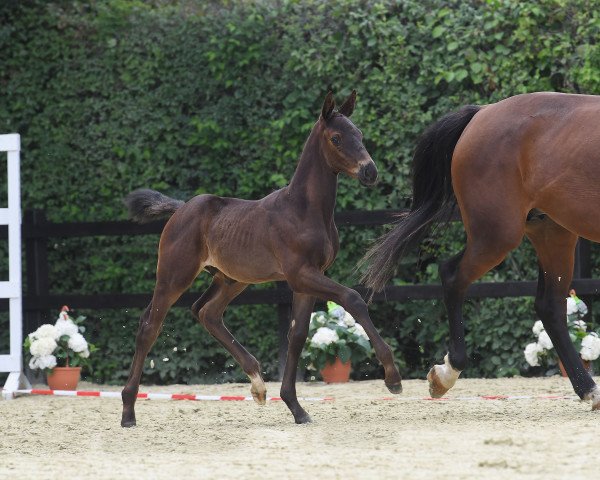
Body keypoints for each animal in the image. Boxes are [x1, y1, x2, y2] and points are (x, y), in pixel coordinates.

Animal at [120, 92, 404, 426]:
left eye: (359, 134)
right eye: (336, 138)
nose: (370, 171)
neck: (303, 210)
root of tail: (180, 209)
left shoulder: (307, 279)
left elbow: (297, 335)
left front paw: (296, 407)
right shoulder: (300, 274)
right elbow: (353, 298)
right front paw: (392, 377)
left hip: (231, 279)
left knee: (207, 313)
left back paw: (257, 384)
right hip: (174, 275)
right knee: (150, 325)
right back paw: (128, 411)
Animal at [360, 93, 600, 408]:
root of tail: (482, 113)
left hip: (553, 231)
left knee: (551, 306)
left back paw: (588, 389)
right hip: (496, 235)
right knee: (452, 276)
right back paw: (447, 374)